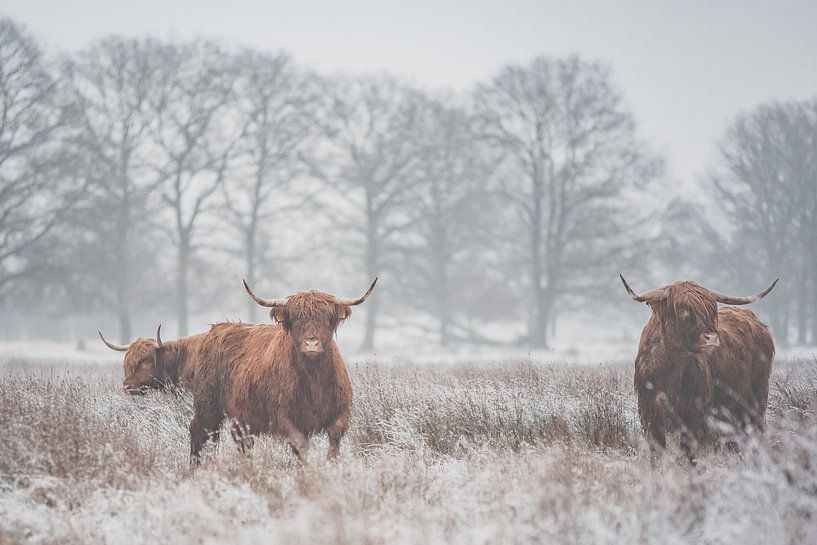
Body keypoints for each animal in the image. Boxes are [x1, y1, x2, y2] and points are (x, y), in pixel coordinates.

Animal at [188, 278, 376, 462]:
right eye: (296, 318)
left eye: (327, 318)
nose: (312, 344)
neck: (315, 379)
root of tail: (217, 328)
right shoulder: (283, 416)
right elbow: (301, 445)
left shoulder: (341, 411)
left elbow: (334, 438)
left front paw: (331, 463)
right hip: (208, 403)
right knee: (200, 430)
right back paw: (196, 465)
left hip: (241, 416)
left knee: (242, 440)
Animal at [620, 274, 776, 462]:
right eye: (683, 309)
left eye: (712, 309)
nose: (711, 338)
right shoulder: (649, 413)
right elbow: (657, 450)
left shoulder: (694, 414)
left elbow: (689, 451)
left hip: (757, 397)